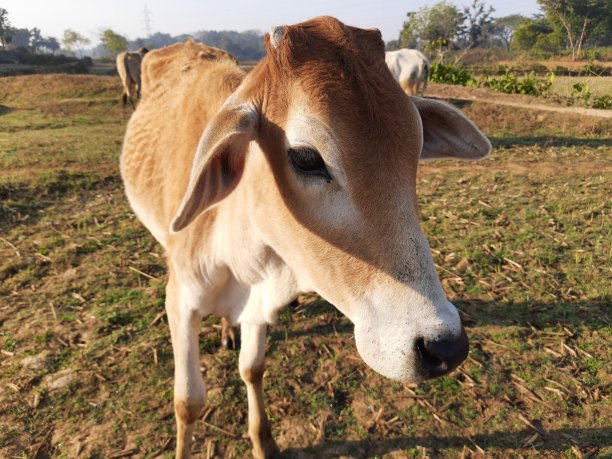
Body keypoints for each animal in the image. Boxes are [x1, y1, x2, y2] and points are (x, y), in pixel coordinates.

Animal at [119, 18, 492, 459]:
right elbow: (189, 402)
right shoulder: (179, 303)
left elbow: (252, 369)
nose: (443, 346)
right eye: (306, 158)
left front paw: (264, 442)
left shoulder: (259, 303)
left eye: (415, 147)